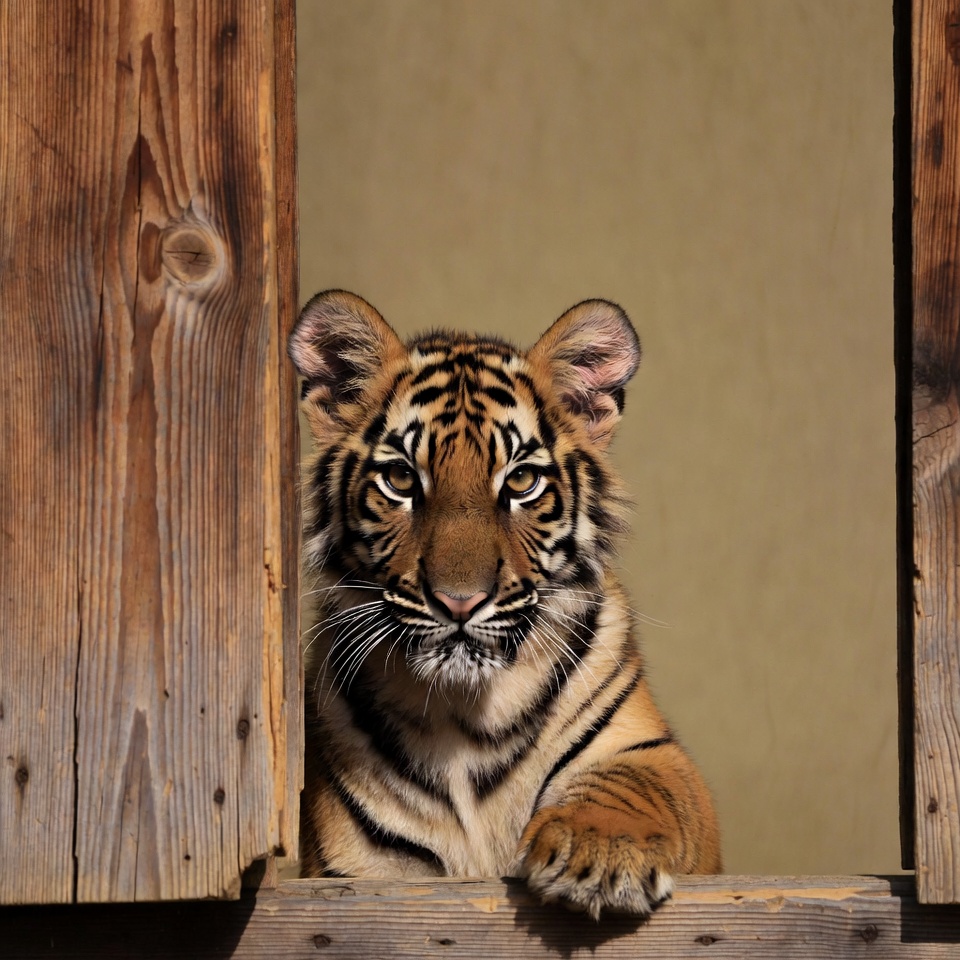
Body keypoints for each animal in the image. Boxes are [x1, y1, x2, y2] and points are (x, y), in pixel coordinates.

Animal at [288, 290, 721, 919]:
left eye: (520, 483)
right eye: (401, 479)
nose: (459, 601)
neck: (464, 714)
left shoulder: (650, 750)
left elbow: (634, 787)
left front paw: (601, 853)